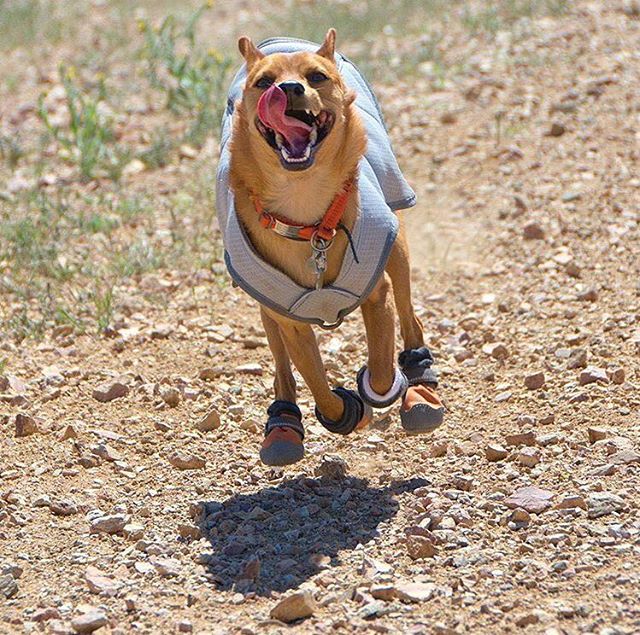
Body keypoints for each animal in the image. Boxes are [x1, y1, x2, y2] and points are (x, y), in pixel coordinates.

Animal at [216, 29, 444, 468]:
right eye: (263, 82)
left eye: (316, 76)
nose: (288, 89)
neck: (305, 211)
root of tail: (281, 39)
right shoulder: (289, 318)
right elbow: (317, 383)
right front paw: (347, 413)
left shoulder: (377, 292)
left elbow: (382, 369)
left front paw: (377, 391)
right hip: (265, 307)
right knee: (281, 367)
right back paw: (283, 423)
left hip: (397, 246)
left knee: (410, 317)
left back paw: (419, 383)